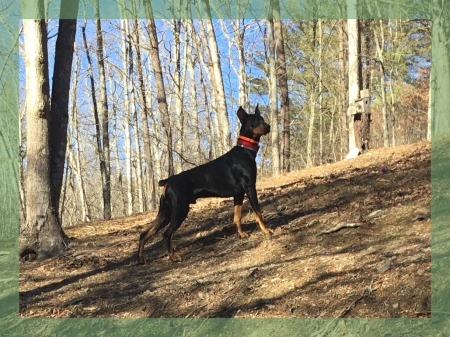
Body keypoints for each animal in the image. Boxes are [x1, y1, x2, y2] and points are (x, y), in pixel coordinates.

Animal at [137, 104, 270, 262]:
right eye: (255, 120)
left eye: (262, 118)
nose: (268, 126)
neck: (246, 150)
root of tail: (167, 181)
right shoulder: (250, 188)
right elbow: (258, 212)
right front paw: (266, 230)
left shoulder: (238, 194)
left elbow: (237, 217)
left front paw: (242, 235)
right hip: (180, 209)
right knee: (166, 233)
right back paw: (173, 256)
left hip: (166, 212)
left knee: (144, 234)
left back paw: (141, 259)